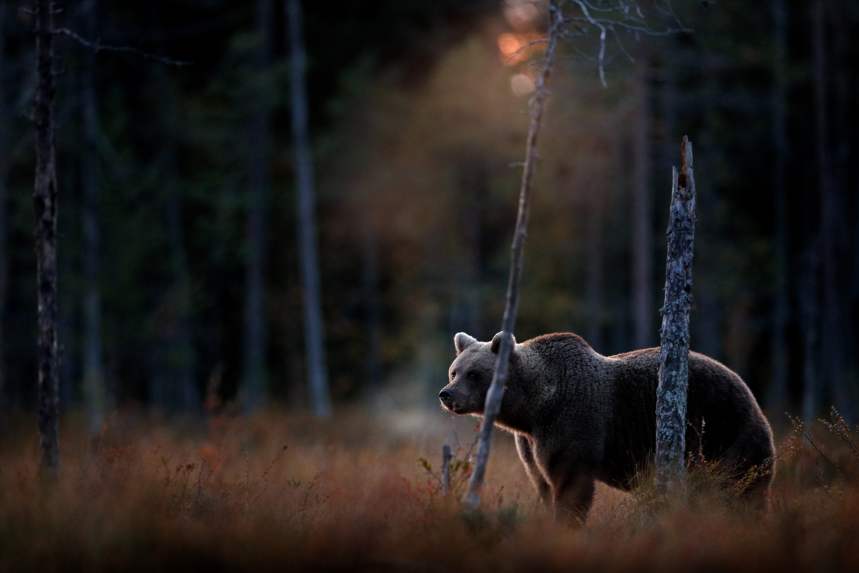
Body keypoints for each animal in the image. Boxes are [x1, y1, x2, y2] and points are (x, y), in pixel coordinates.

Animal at [438, 331, 775, 523]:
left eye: (474, 374)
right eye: (454, 371)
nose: (446, 394)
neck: (532, 407)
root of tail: (750, 392)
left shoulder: (572, 421)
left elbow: (571, 483)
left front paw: (567, 523)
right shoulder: (531, 444)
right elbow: (543, 482)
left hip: (723, 427)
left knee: (739, 487)